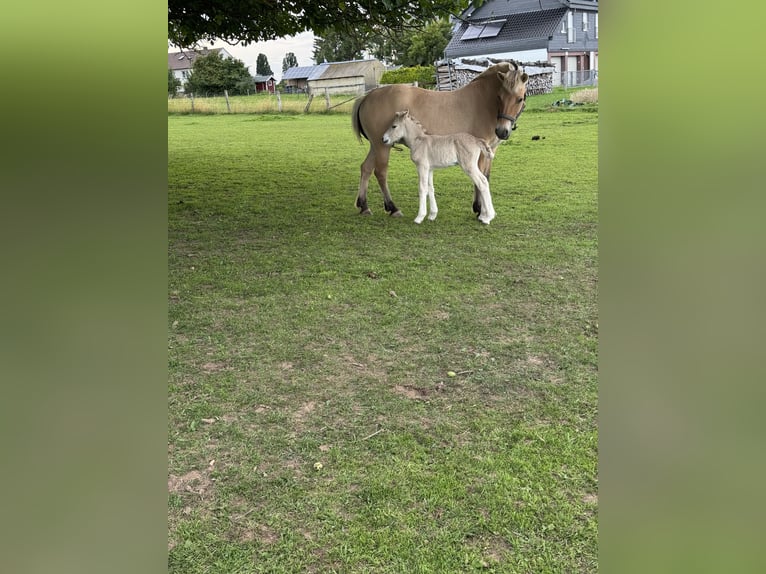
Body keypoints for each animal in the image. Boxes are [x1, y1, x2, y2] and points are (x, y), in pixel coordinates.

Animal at [352, 61, 528, 219]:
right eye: (499, 97)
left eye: (519, 98)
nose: (502, 131)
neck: (484, 101)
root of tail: (367, 96)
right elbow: (480, 178)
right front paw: (480, 210)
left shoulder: (490, 150)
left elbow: (486, 177)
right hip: (382, 147)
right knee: (380, 172)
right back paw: (392, 207)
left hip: (377, 145)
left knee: (366, 168)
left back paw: (364, 205)